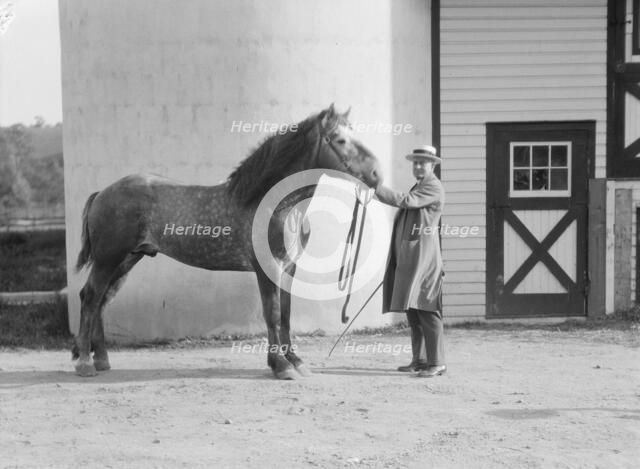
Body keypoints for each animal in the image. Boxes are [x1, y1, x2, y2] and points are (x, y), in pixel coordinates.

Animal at [72, 104, 382, 379]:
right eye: (340, 139)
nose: (377, 175)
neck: (273, 203)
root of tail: (102, 193)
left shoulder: (289, 268)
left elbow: (286, 316)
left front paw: (296, 362)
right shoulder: (267, 268)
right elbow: (272, 314)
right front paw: (281, 366)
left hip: (127, 260)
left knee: (102, 301)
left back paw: (101, 360)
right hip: (107, 259)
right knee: (90, 297)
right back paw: (85, 363)